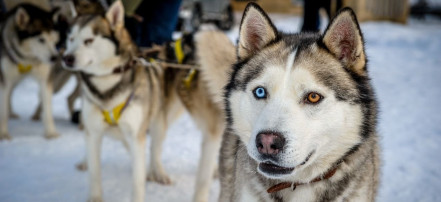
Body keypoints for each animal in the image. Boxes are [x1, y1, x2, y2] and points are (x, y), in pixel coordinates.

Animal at [0, 3, 60, 140]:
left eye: (53, 39)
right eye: (41, 39)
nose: (55, 58)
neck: (27, 59)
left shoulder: (45, 79)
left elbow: (47, 109)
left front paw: (50, 133)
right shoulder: (4, 80)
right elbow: (2, 111)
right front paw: (3, 134)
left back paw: (12, 113)